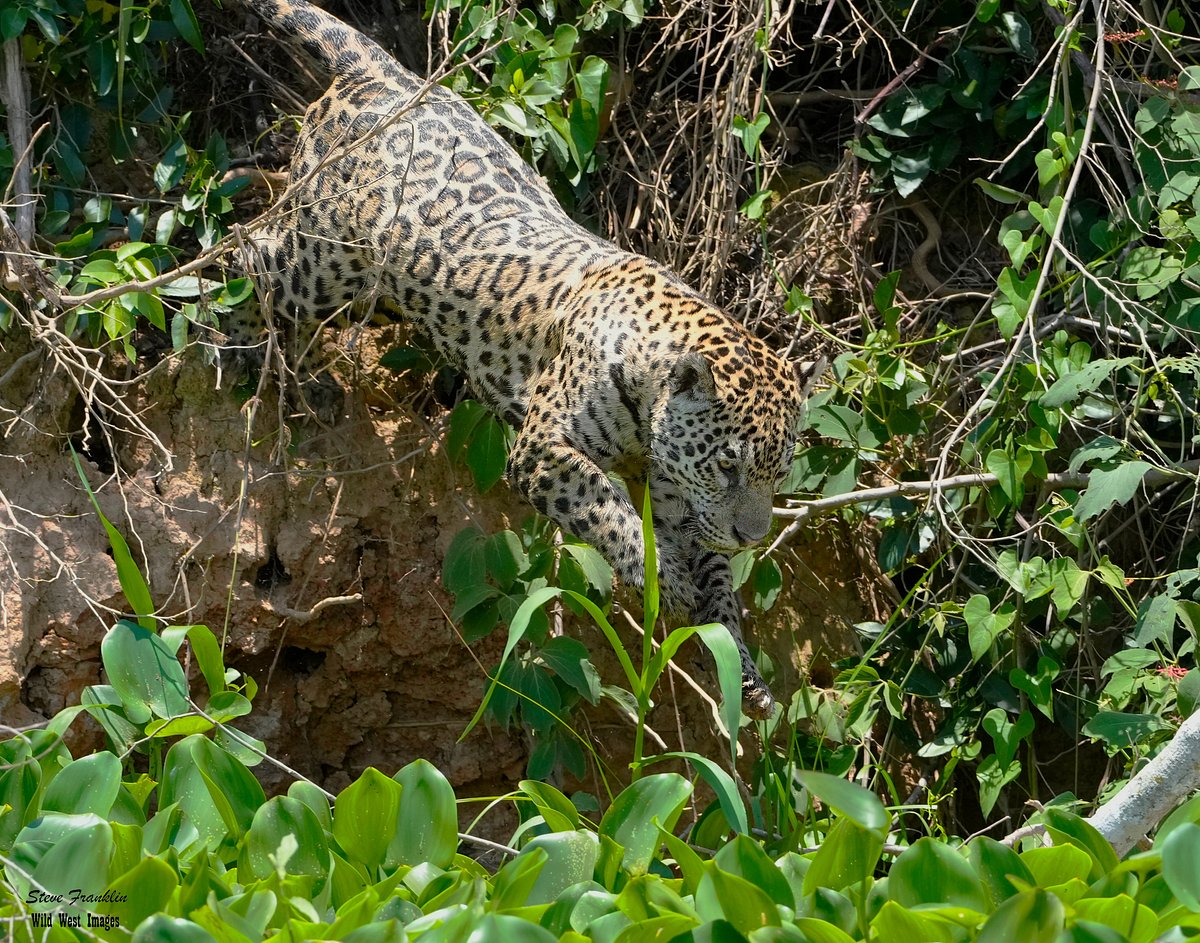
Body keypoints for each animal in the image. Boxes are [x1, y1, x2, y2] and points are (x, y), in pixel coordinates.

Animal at [221, 0, 824, 719]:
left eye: (778, 471)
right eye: (728, 464)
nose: (753, 536)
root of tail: (386, 75)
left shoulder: (681, 497)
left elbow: (715, 579)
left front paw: (738, 659)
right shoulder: (544, 449)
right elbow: (606, 506)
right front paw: (664, 578)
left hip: (376, 285)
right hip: (326, 259)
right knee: (251, 247)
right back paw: (240, 352)